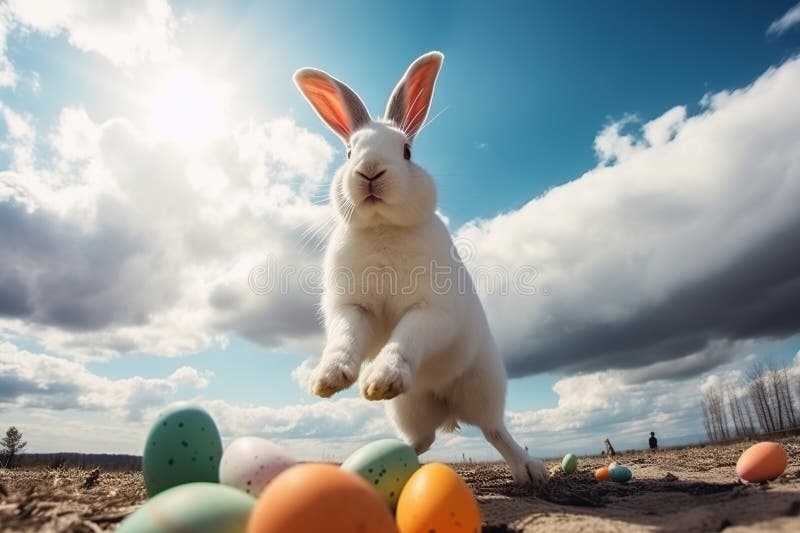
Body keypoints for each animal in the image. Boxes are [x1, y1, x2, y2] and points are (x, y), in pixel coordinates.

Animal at [293, 51, 549, 485]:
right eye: (349, 152)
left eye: (407, 151)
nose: (370, 171)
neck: (383, 228)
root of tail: (448, 407)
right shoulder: (354, 309)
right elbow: (345, 339)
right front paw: (328, 379)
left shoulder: (431, 311)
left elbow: (407, 337)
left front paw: (381, 378)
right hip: (409, 409)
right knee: (423, 441)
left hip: (484, 386)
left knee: (494, 430)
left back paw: (531, 471)